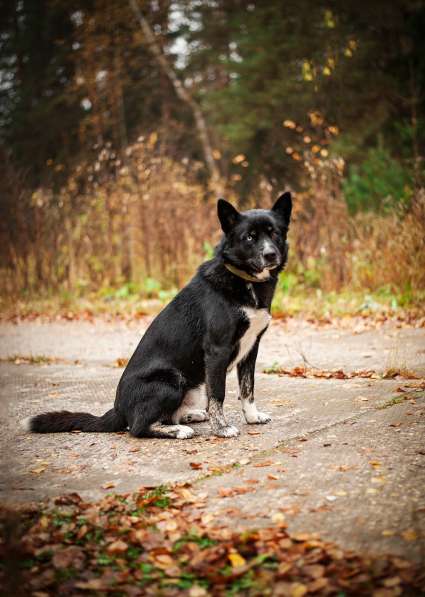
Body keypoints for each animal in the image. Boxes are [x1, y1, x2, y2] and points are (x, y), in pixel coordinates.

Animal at [24, 192, 292, 438]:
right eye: (250, 237)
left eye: (274, 234)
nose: (270, 255)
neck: (243, 280)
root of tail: (118, 410)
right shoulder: (218, 350)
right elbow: (219, 395)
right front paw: (222, 428)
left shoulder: (251, 347)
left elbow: (248, 388)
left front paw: (252, 417)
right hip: (172, 380)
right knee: (138, 427)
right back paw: (178, 430)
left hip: (192, 385)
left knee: (165, 416)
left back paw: (189, 416)